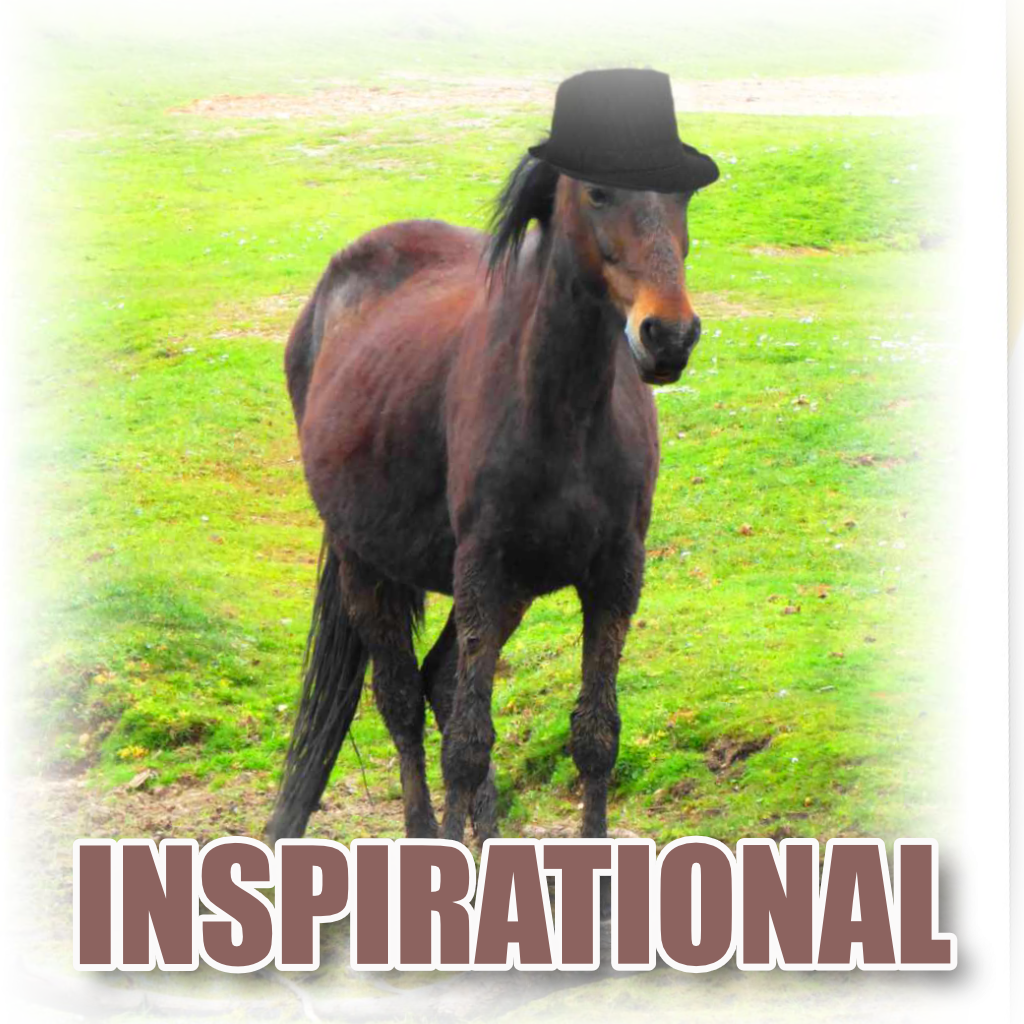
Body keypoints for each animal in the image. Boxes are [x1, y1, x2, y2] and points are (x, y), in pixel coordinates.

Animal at [266, 151, 705, 846]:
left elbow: (596, 736)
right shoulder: (483, 568)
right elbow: (466, 748)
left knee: (440, 679)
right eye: (598, 193)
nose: (669, 336)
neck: (568, 410)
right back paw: (425, 834)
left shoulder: (614, 574)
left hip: (510, 588)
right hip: (367, 563)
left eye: (685, 194)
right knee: (400, 701)